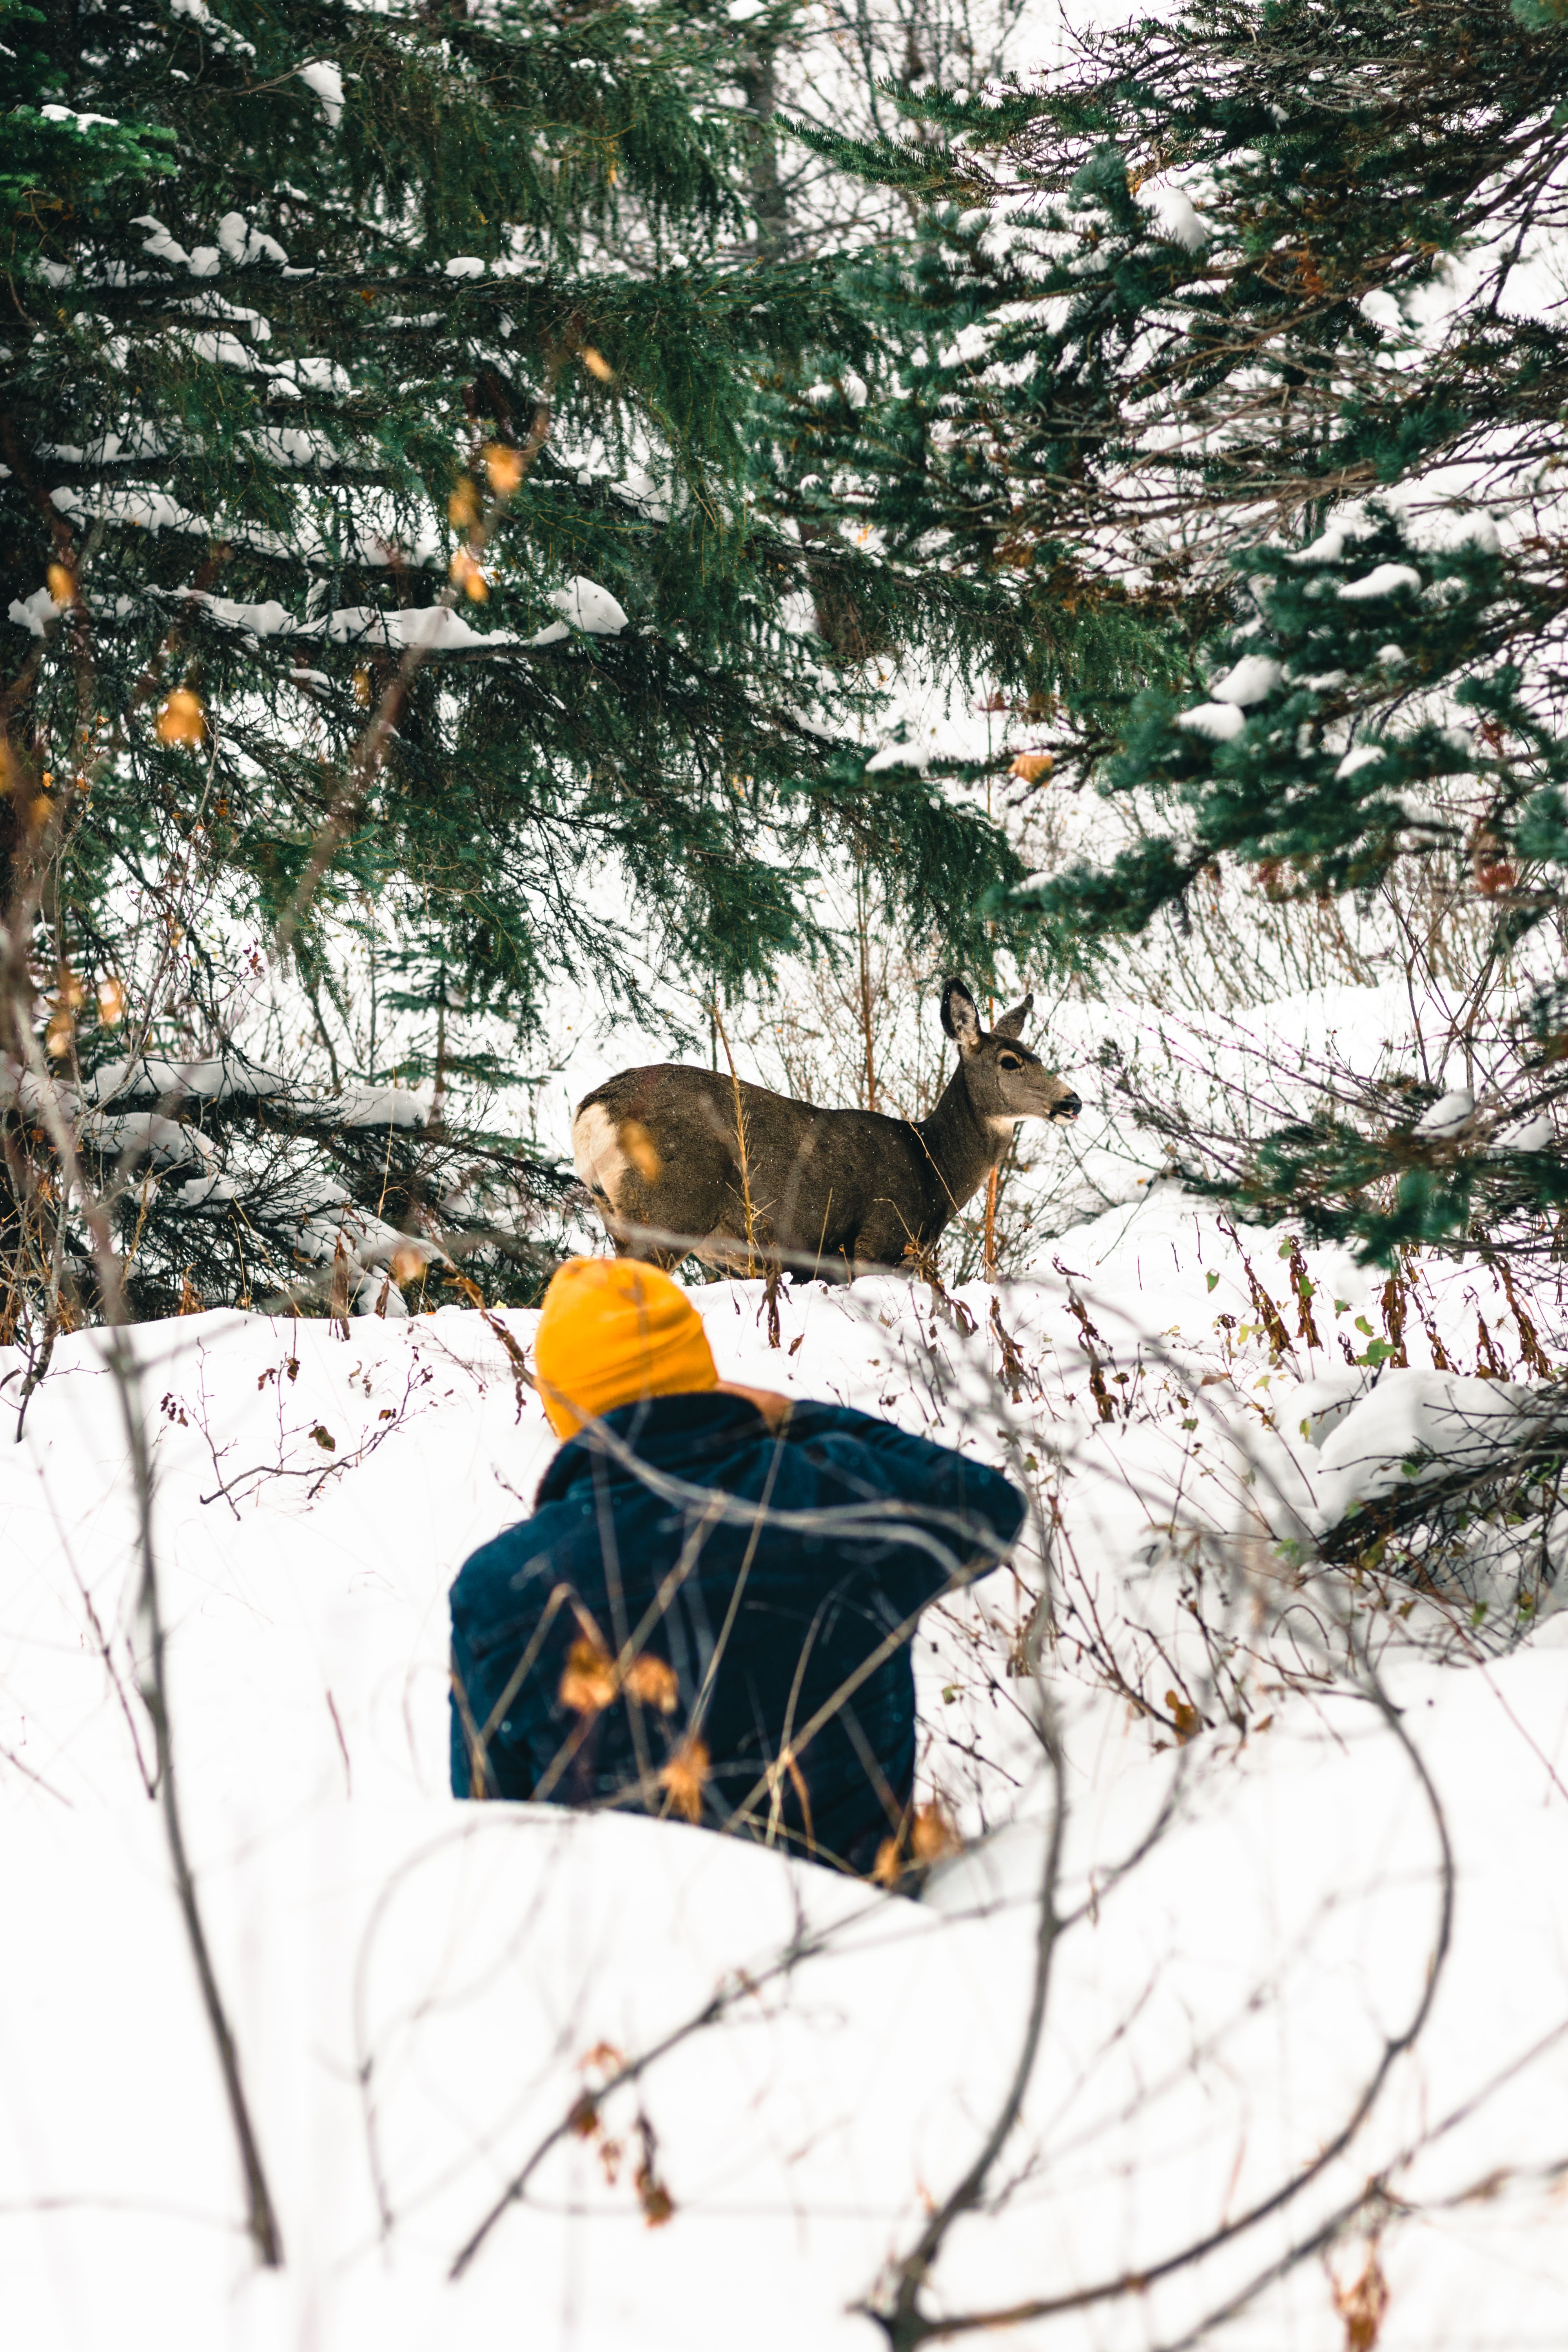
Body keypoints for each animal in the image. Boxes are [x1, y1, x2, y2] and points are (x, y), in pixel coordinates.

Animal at [571, 978, 1081, 1281]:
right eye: (1010, 1061)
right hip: (669, 1208)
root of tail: (592, 1110)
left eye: (1035, 1054)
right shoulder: (876, 1243)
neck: (932, 1169)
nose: (1071, 1101)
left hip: (616, 1213)